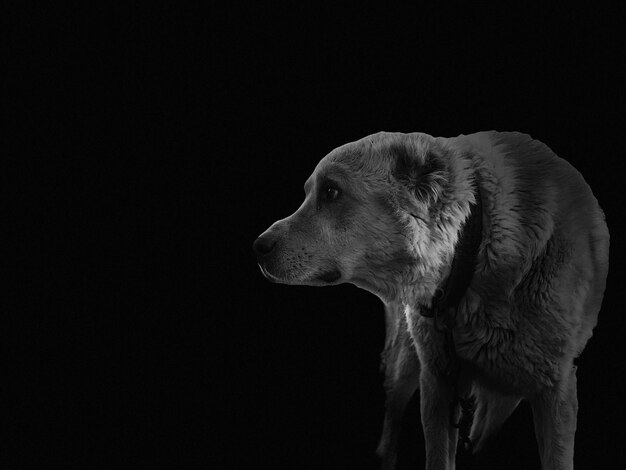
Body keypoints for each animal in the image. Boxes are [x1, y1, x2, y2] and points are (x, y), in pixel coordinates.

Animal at [251, 131, 608, 470]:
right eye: (310, 193)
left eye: (331, 192)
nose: (258, 247)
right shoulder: (437, 382)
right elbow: (437, 457)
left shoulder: (555, 389)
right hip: (405, 364)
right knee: (390, 434)